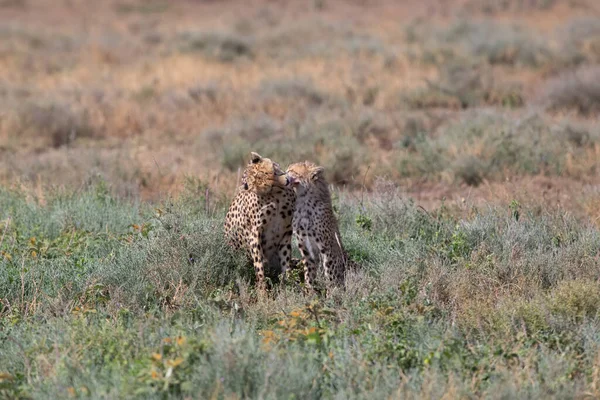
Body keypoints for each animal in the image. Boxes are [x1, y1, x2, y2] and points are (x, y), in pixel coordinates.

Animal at [224, 152, 296, 286]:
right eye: (270, 186)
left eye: (275, 171)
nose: (287, 181)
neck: (277, 196)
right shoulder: (254, 234)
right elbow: (259, 266)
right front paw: (262, 289)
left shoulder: (286, 232)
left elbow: (286, 262)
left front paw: (290, 284)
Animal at [286, 161, 352, 290]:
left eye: (292, 170)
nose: (283, 174)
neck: (304, 201)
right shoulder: (306, 248)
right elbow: (309, 272)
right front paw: (309, 290)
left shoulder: (328, 246)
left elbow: (330, 271)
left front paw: (333, 291)